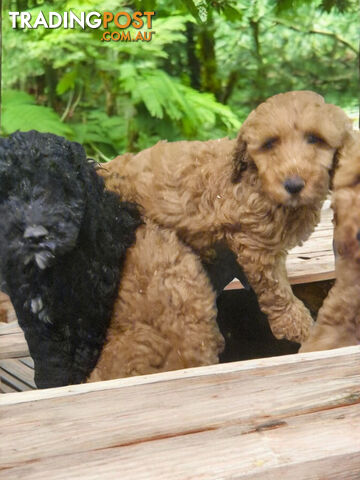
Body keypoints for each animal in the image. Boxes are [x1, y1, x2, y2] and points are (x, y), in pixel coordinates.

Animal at [0, 130, 142, 386]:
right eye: (6, 191)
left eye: (60, 186)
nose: (35, 235)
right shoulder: (31, 311)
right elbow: (49, 354)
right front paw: (51, 384)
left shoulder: (90, 306)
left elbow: (80, 353)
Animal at [100, 92, 352, 344]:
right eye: (269, 144)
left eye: (315, 139)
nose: (293, 185)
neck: (255, 179)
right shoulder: (256, 244)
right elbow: (276, 287)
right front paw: (297, 323)